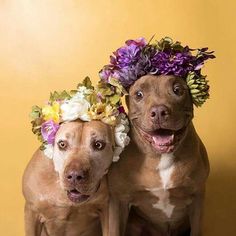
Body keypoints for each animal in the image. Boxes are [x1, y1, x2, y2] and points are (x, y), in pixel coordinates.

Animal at [108, 75, 209, 236]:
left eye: (177, 90)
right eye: (138, 94)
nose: (159, 111)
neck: (160, 157)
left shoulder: (197, 198)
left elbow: (197, 229)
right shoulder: (118, 201)